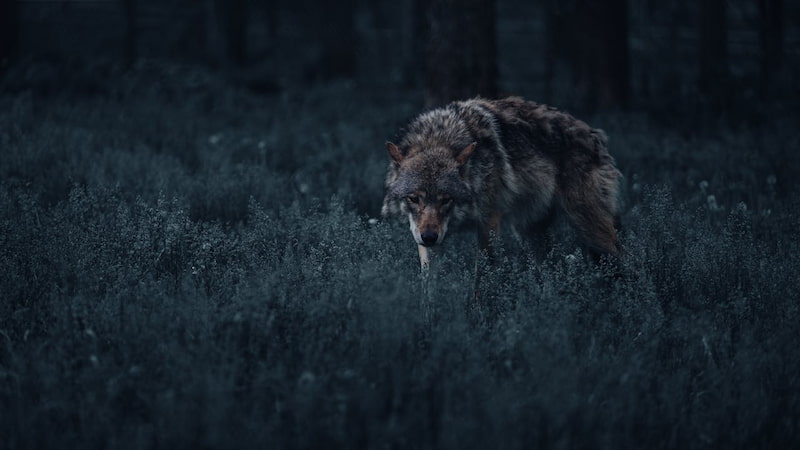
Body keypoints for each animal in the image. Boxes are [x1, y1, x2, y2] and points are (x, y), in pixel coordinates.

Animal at [381, 97, 621, 269]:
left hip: (591, 230)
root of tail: (595, 135)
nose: (429, 237)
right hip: (530, 234)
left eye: (446, 200)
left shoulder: (489, 224)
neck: (439, 139)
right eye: (413, 199)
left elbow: (481, 281)